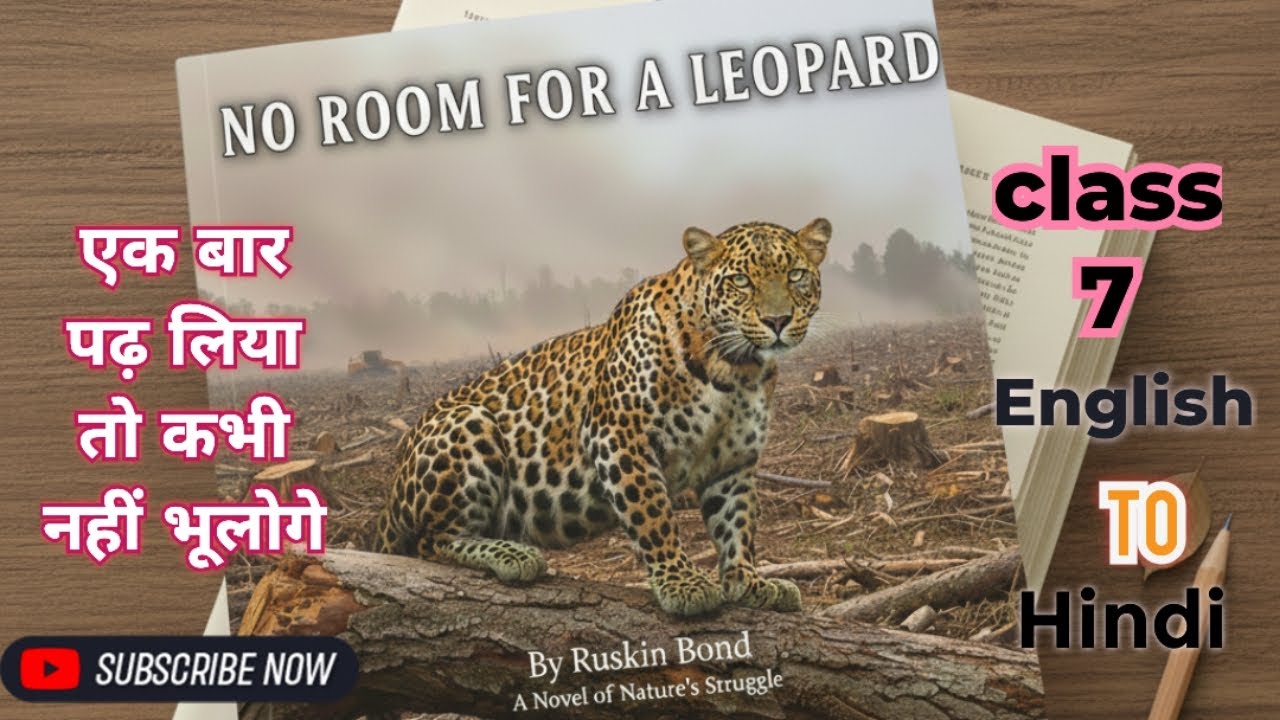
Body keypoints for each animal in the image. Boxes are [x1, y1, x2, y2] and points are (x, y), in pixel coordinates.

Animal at [372, 218, 831, 616]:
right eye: (740, 281)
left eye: (795, 275)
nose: (777, 321)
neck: (735, 369)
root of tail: (390, 494)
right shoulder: (619, 435)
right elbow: (653, 513)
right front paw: (681, 582)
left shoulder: (733, 462)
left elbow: (737, 524)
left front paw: (748, 582)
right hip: (470, 422)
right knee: (431, 542)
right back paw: (512, 555)